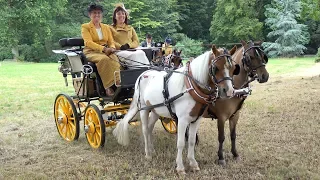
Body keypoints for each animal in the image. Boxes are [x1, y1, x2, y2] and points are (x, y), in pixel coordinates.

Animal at [113, 45, 238, 174]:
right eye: (216, 68)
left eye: (233, 68)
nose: (229, 91)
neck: (190, 87)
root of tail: (143, 74)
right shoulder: (182, 120)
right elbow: (181, 143)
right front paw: (180, 167)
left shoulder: (196, 119)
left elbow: (192, 141)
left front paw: (193, 163)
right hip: (144, 109)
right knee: (145, 130)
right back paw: (148, 154)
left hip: (155, 110)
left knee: (150, 128)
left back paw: (152, 150)